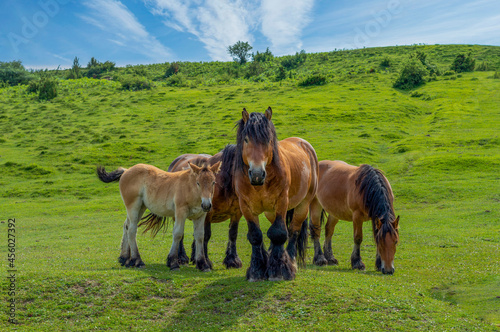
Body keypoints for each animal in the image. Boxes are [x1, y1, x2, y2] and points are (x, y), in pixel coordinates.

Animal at [232, 107, 318, 282]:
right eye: (246, 140)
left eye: (268, 140)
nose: (257, 174)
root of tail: (304, 144)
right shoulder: (246, 206)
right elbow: (256, 235)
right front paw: (257, 270)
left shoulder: (281, 202)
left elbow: (279, 233)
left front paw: (279, 270)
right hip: (270, 212)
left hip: (302, 205)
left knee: (293, 231)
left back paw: (291, 261)